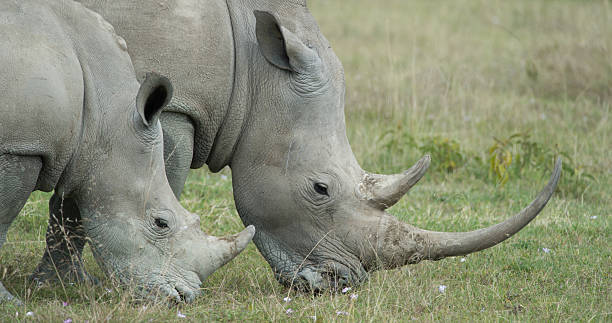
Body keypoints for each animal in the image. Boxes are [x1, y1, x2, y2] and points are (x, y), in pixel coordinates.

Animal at [0, 0, 253, 304]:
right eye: (160, 223)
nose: (183, 298)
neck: (105, 112)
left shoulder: (75, 154)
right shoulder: (21, 148)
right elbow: (2, 219)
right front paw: (9, 302)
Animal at [38, 0, 560, 292]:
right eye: (320, 189)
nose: (340, 285)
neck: (253, 66)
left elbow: (75, 195)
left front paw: (61, 285)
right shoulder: (172, 107)